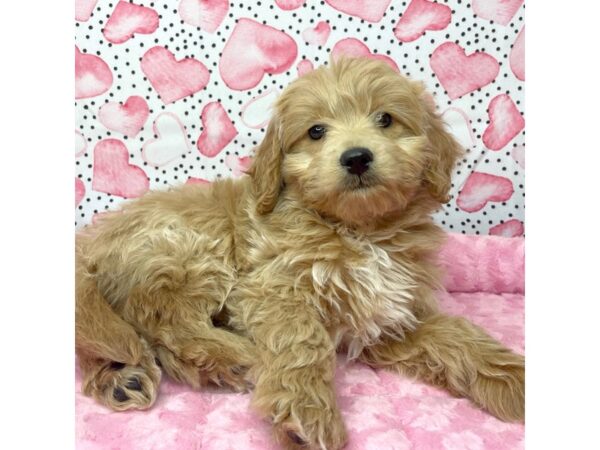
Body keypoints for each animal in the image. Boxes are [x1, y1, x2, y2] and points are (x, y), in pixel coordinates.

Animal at [76, 57, 524, 450]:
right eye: (316, 132)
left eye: (385, 119)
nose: (356, 157)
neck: (358, 231)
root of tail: (93, 240)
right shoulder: (271, 289)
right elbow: (301, 341)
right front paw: (306, 411)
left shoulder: (388, 319)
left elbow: (455, 336)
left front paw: (513, 380)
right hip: (191, 249)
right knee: (162, 318)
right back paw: (233, 356)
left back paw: (122, 378)